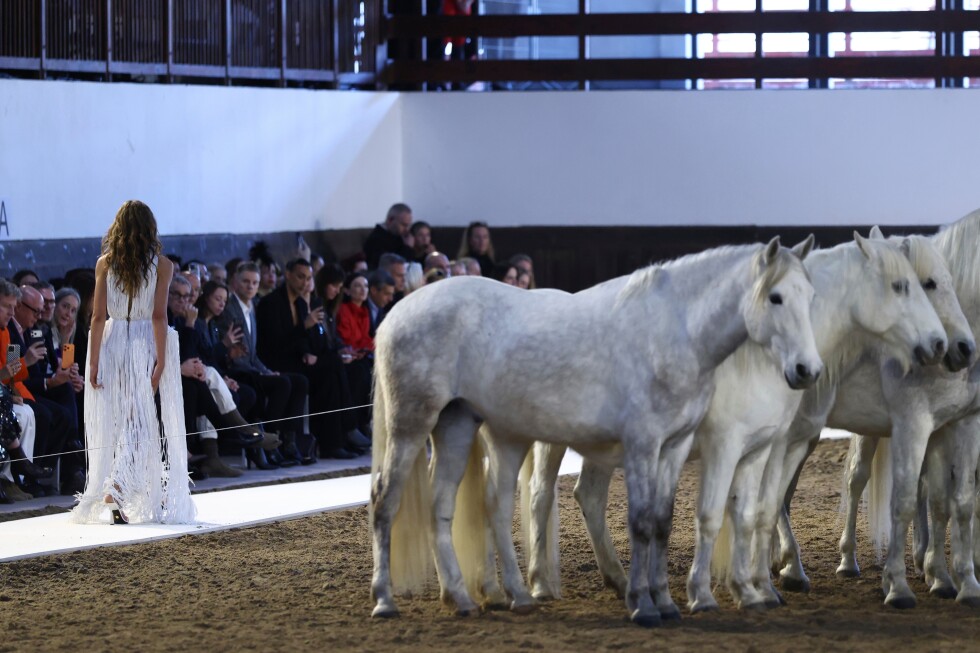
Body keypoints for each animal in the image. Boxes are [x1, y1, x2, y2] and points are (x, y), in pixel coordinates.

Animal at [369, 237, 823, 627]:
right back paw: (385, 600)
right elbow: (642, 522)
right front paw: (644, 605)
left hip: (462, 425)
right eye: (775, 297)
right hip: (412, 425)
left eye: (809, 296)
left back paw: (477, 597)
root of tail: (397, 312)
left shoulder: (675, 448)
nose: (807, 370)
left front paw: (666, 602)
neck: (674, 333)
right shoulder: (647, 445)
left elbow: (664, 522)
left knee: (454, 506)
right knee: (386, 500)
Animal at [518, 231, 950, 613]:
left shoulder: (778, 445)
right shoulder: (736, 444)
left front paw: (761, 587)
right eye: (901, 286)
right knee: (541, 496)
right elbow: (743, 512)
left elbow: (759, 511)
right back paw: (539, 584)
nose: (939, 345)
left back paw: (619, 580)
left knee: (588, 496)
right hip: (555, 440)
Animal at [773, 217, 979, 609]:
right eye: (928, 283)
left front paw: (958, 582)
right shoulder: (915, 423)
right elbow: (907, 500)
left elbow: (954, 501)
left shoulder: (957, 424)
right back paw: (800, 568)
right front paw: (900, 585)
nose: (963, 349)